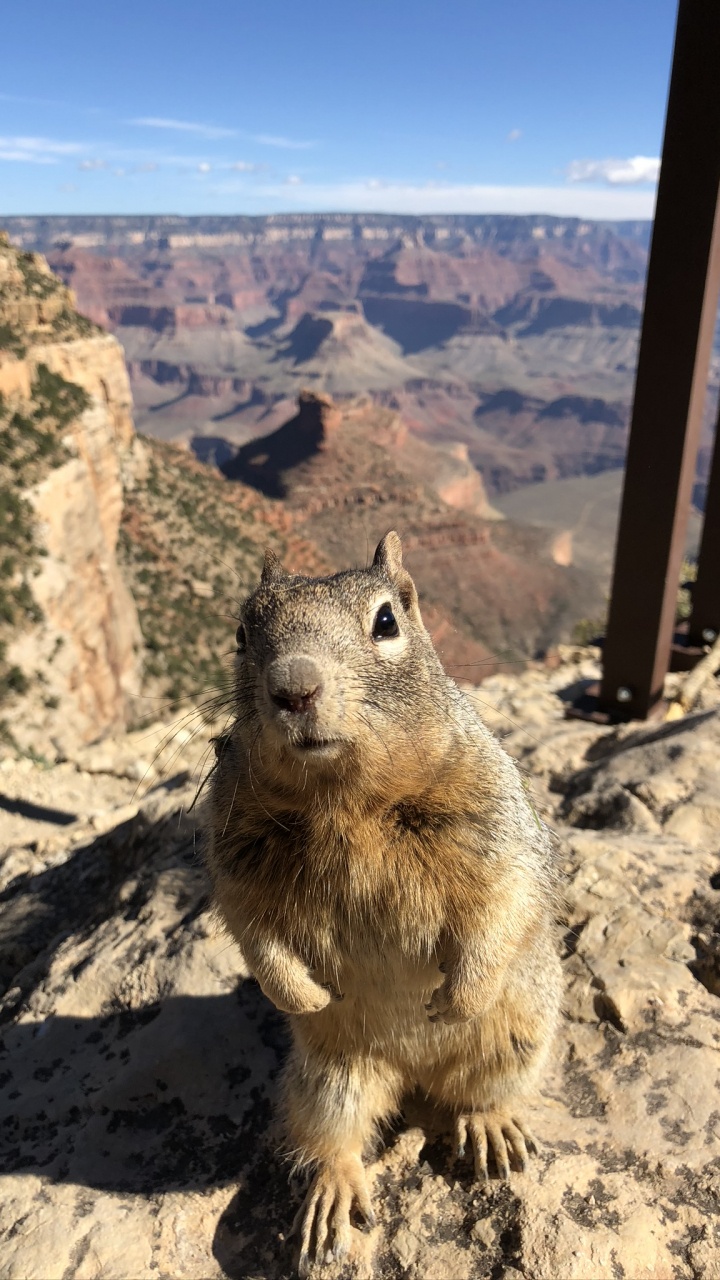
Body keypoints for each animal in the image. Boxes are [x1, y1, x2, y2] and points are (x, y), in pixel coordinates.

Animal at [205, 531, 562, 1275]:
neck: (346, 802)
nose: (294, 687)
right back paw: (333, 1195)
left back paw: (491, 1128)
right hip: (326, 1079)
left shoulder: (494, 817)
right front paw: (303, 993)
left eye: (388, 621)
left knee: (479, 1092)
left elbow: (504, 896)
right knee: (331, 1137)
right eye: (242, 632)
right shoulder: (232, 849)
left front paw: (458, 995)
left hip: (519, 1037)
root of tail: (413, 1072)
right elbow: (253, 931)